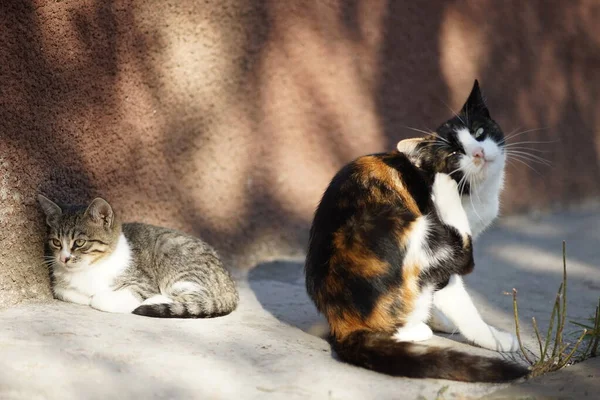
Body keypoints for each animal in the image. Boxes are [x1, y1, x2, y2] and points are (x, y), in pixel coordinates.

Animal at [36, 195, 239, 318]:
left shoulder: (142, 283)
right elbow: (66, 292)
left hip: (179, 267)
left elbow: (100, 299)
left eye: (79, 242)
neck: (89, 269)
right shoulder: (59, 286)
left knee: (196, 296)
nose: (63, 258)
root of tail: (230, 285)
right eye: (56, 242)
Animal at [308, 80, 528, 382]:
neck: (474, 191)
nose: (478, 153)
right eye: (454, 154)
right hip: (406, 227)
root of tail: (341, 324)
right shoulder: (442, 264)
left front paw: (440, 318)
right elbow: (461, 301)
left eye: (479, 133)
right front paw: (494, 338)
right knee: (461, 256)